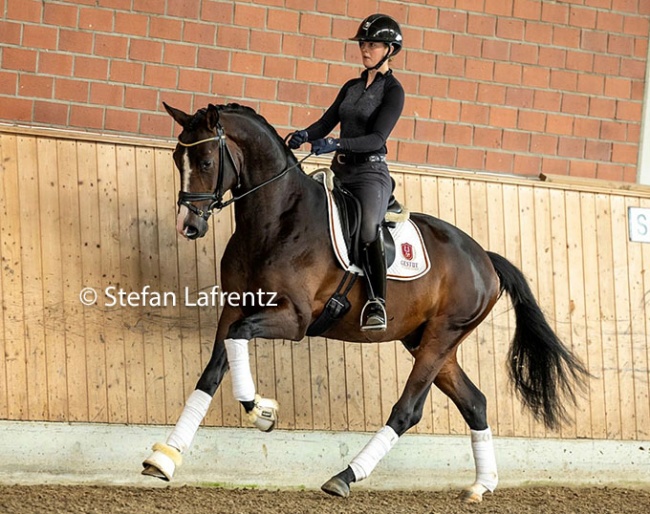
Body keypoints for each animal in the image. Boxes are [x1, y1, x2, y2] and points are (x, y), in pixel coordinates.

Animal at [142, 102, 588, 502]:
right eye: (177, 158)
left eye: (204, 159)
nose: (188, 225)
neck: (277, 220)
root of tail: (485, 260)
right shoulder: (235, 305)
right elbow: (213, 371)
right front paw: (164, 459)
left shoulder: (295, 319)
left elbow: (239, 338)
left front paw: (262, 412)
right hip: (428, 341)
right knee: (475, 403)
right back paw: (481, 486)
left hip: (442, 337)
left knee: (408, 410)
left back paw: (344, 477)